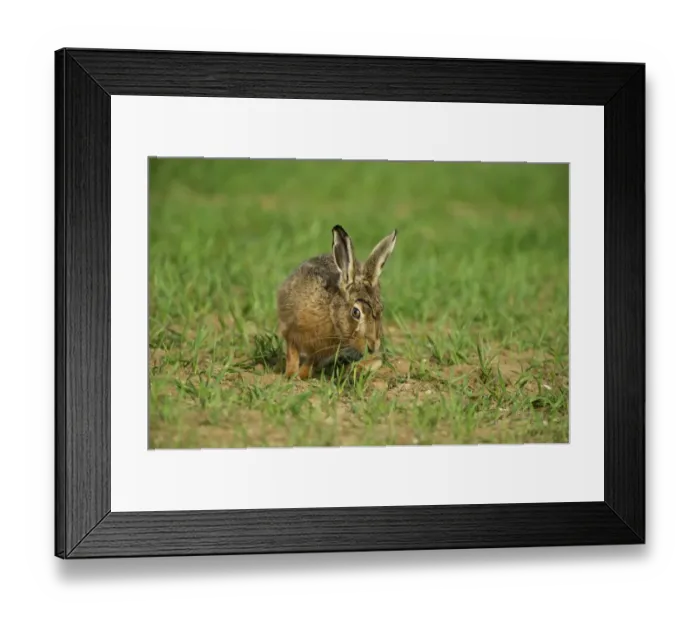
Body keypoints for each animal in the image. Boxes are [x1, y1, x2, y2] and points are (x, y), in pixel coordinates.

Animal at [277, 224, 398, 379]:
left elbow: (312, 361)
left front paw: (302, 375)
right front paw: (290, 374)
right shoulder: (291, 330)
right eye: (356, 312)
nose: (373, 346)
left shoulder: (324, 350)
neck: (330, 312)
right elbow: (292, 353)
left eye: (380, 310)